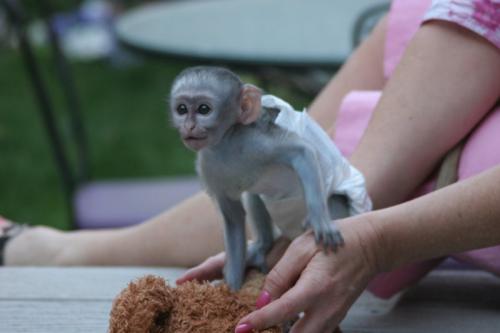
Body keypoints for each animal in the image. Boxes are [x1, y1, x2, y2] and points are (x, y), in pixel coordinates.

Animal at [170, 66, 370, 290]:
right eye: (182, 109)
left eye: (204, 109)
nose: (188, 126)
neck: (225, 144)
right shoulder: (207, 167)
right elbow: (233, 220)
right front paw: (232, 287)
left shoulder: (254, 141)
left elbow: (303, 152)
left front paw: (319, 220)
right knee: (254, 196)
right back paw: (262, 246)